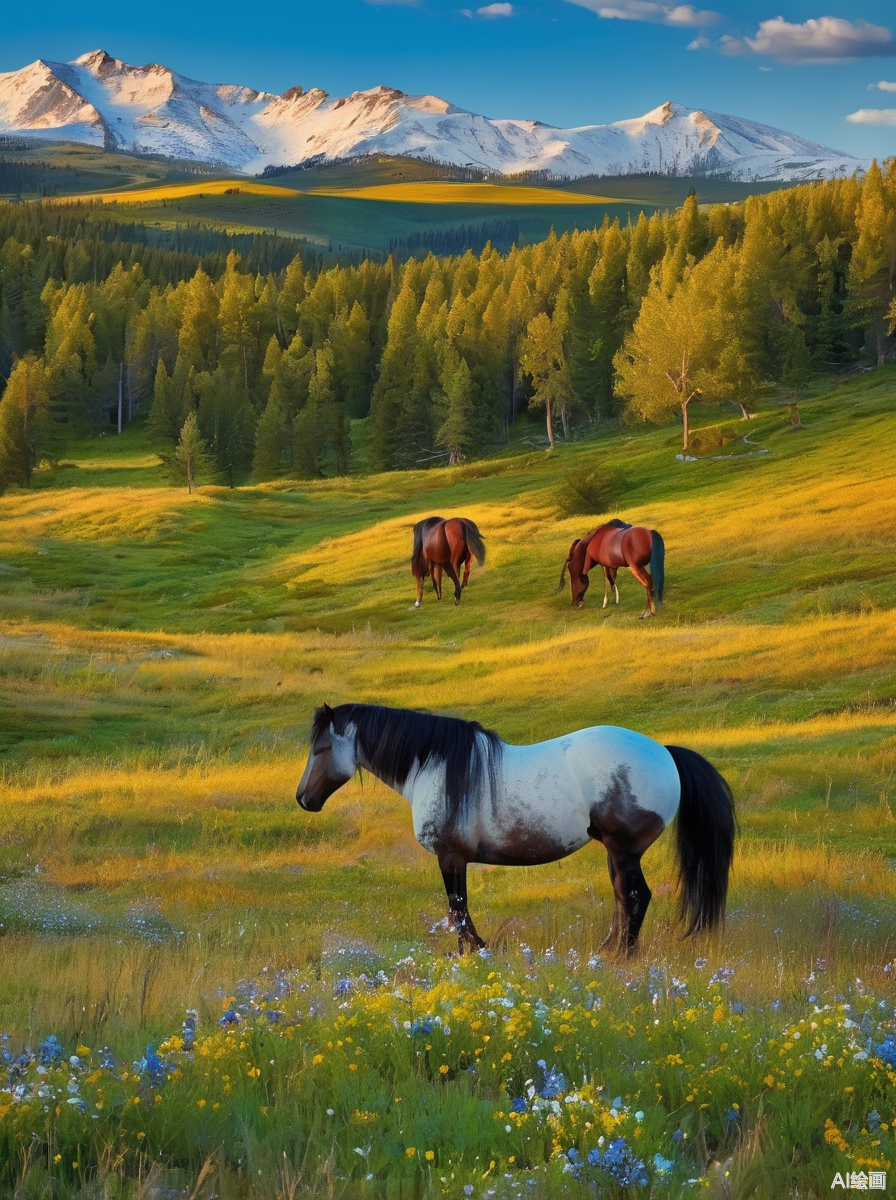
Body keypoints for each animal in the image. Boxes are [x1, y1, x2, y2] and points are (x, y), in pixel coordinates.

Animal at [296, 702, 735, 956]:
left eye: (320, 749)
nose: (304, 798)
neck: (435, 767)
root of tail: (664, 752)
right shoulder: (456, 858)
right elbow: (459, 908)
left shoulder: (450, 855)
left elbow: (458, 908)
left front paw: (473, 952)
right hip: (616, 852)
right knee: (622, 898)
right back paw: (607, 950)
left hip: (624, 849)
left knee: (635, 896)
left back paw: (623, 956)